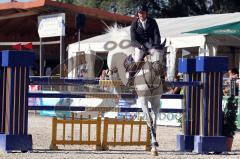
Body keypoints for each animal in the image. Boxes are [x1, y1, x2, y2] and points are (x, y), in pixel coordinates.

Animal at [106, 25, 166, 156]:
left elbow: (155, 121)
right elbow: (149, 120)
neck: (151, 77)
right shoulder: (143, 100)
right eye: (151, 54)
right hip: (112, 68)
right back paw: (118, 96)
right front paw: (154, 146)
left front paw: (154, 145)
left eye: (164, 53)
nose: (159, 69)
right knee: (113, 77)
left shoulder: (155, 101)